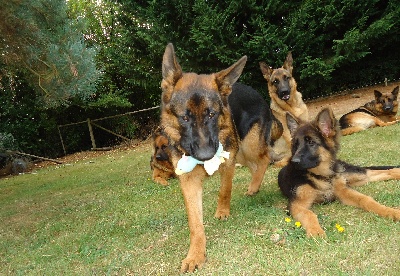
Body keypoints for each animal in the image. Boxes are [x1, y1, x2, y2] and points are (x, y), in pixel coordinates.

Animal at [159, 43, 247, 272]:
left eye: (211, 114)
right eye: (185, 117)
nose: (206, 156)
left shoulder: (228, 162)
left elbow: (225, 189)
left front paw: (222, 211)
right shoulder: (188, 181)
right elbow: (195, 223)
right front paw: (196, 254)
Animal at [278, 108, 400, 237]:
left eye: (311, 142)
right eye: (296, 145)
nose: (294, 161)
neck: (321, 175)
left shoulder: (342, 191)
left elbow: (365, 199)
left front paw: (390, 211)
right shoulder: (296, 204)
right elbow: (309, 214)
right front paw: (316, 231)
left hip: (348, 174)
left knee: (373, 172)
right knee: (374, 175)